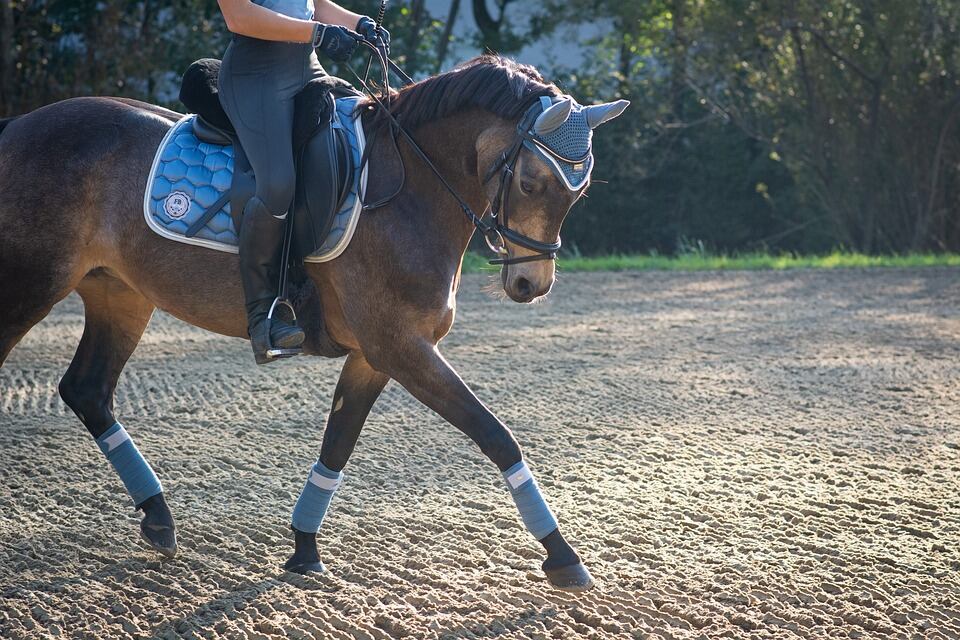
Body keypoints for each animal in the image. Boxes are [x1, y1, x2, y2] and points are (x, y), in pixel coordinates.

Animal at [0, 53, 632, 592]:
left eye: (577, 193)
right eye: (531, 183)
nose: (531, 285)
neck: (411, 189)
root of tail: (19, 126)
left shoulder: (377, 354)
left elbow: (338, 442)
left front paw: (304, 549)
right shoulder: (402, 346)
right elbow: (495, 434)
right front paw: (563, 557)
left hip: (120, 294)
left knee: (87, 389)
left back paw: (158, 520)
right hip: (31, 283)